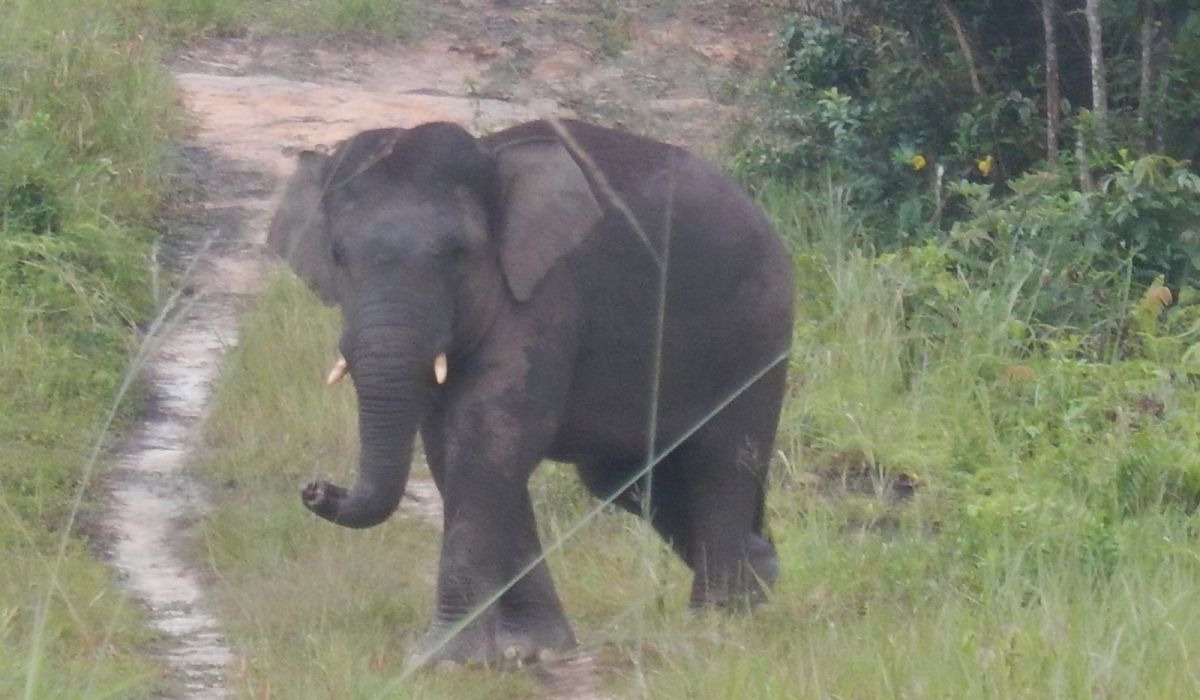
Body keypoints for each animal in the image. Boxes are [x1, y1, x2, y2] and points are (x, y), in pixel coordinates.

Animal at [267, 118, 795, 666]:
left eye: (458, 252)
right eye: (337, 255)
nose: (316, 488)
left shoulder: (545, 292)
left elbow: (491, 434)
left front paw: (442, 661)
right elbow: (453, 449)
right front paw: (533, 650)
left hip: (757, 323)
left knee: (722, 459)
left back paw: (720, 619)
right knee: (629, 479)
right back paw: (761, 575)